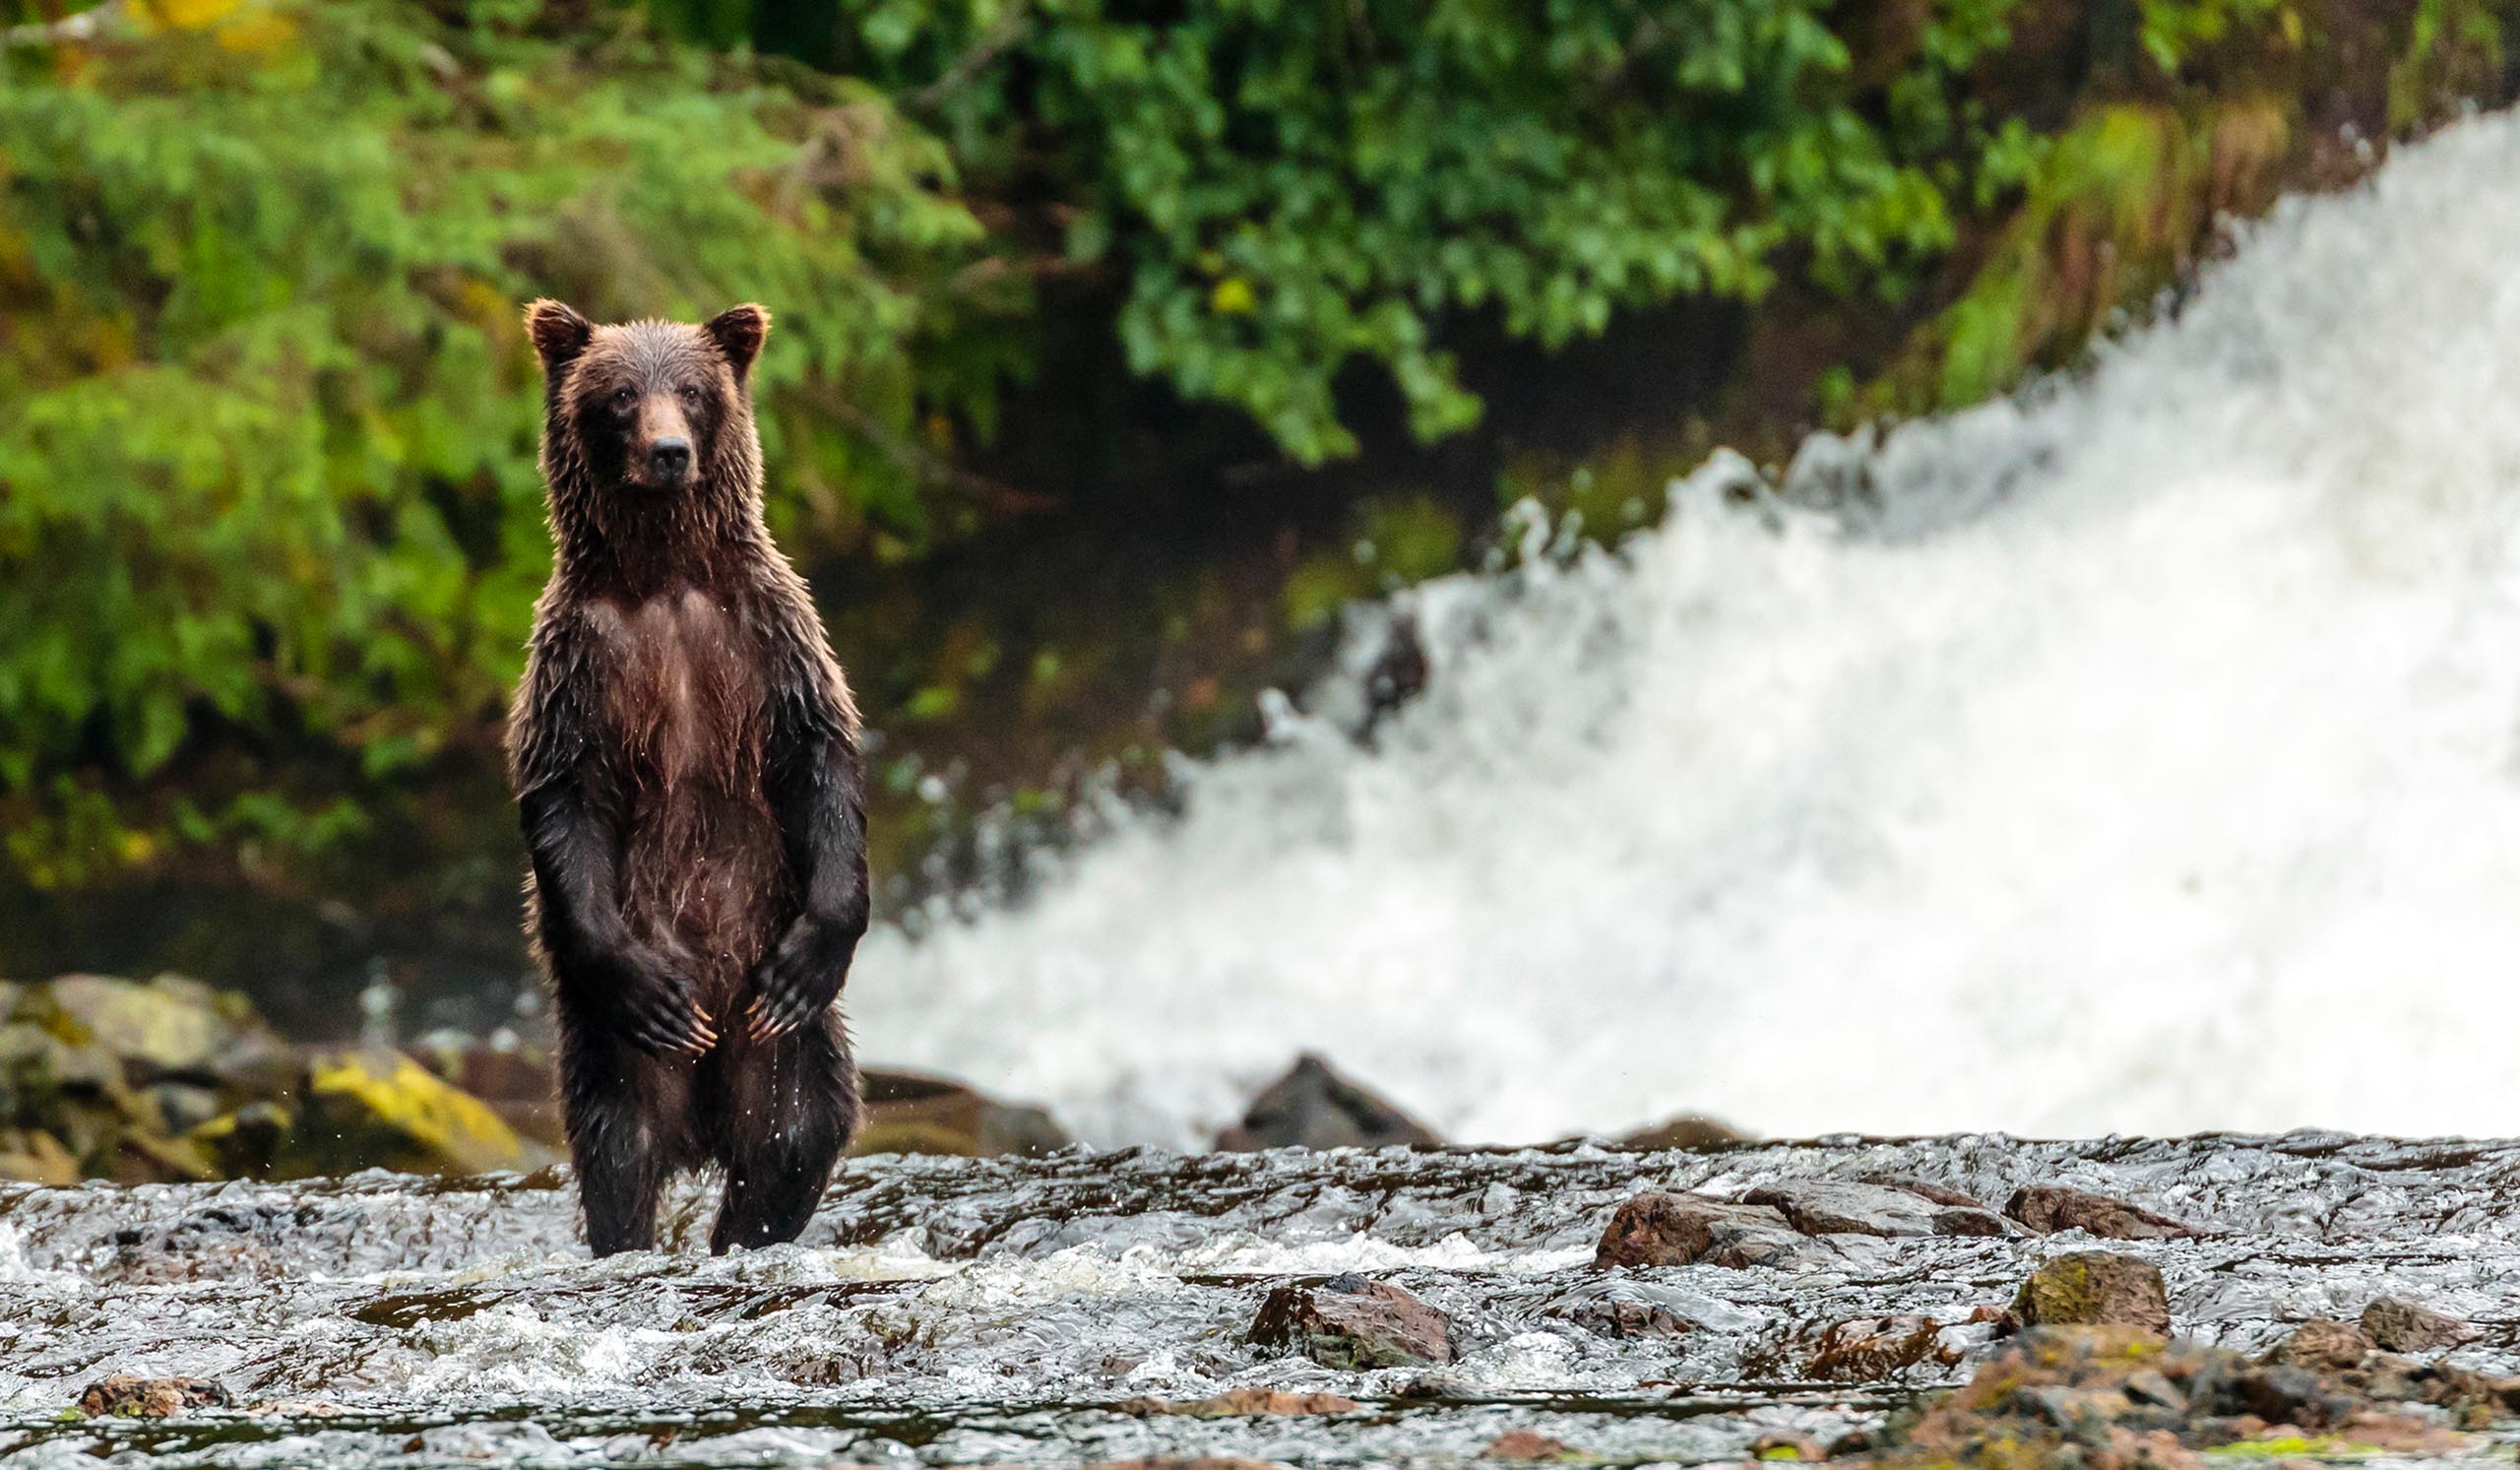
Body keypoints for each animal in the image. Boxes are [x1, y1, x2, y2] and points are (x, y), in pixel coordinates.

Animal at [507, 299, 868, 1256]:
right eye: (621, 395)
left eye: (696, 392)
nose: (669, 451)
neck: (667, 577)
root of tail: (703, 1119)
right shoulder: (578, 669)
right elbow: (565, 797)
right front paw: (644, 988)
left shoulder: (771, 640)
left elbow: (822, 759)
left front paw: (818, 950)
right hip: (615, 1039)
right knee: (618, 1140)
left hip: (774, 1032)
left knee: (795, 1130)